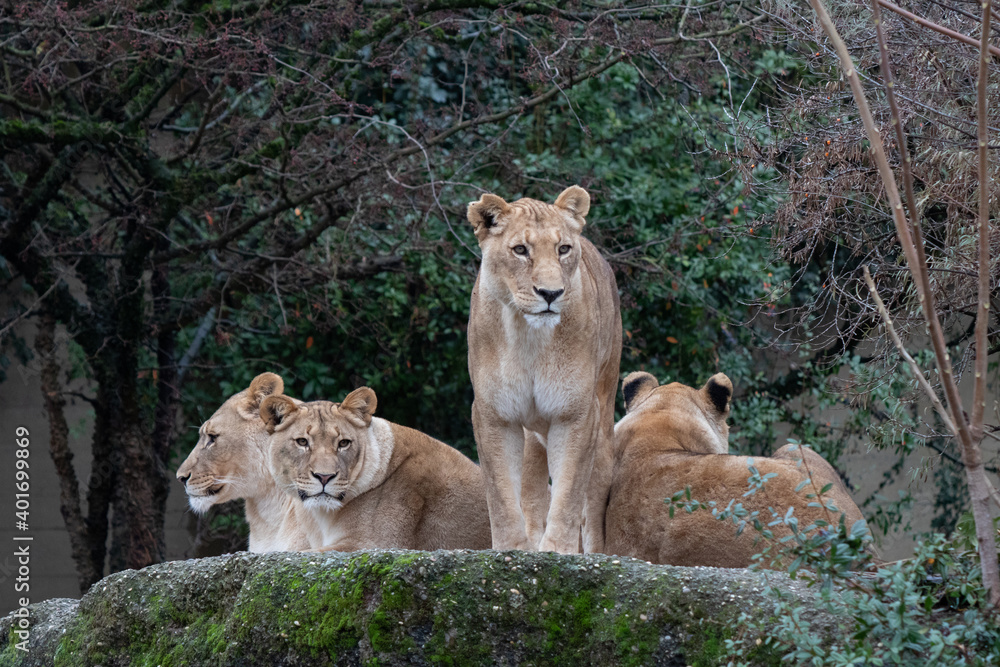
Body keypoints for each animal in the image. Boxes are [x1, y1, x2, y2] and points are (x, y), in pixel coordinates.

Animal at [466, 185, 622, 554]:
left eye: (563, 249)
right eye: (520, 250)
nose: (551, 293)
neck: (529, 336)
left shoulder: (576, 413)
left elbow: (569, 492)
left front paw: (557, 551)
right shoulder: (495, 414)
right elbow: (502, 494)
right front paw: (512, 548)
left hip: (604, 424)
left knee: (594, 502)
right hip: (530, 436)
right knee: (533, 492)